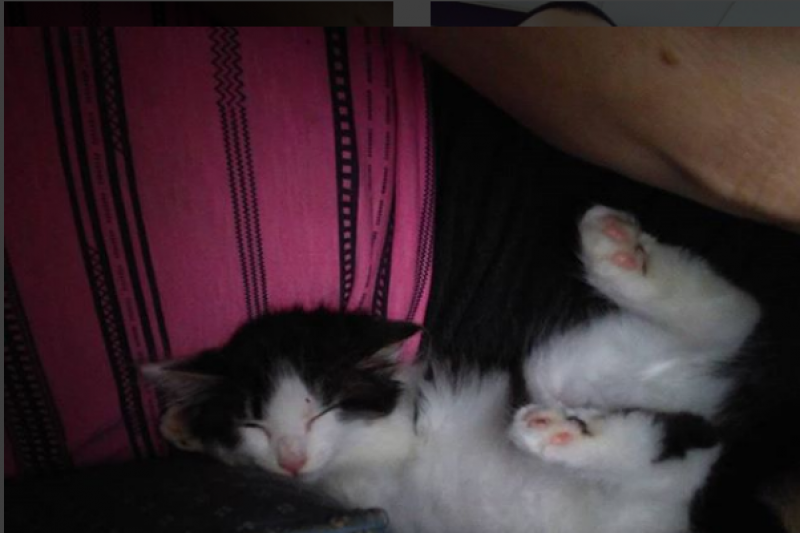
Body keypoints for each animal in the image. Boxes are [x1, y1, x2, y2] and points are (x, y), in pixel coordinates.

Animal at [144, 206, 761, 533]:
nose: (291, 460)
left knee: (732, 317)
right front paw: (183, 424)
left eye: (320, 410)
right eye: (254, 423)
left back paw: (616, 253)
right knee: (680, 443)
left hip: (564, 367)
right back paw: (569, 432)